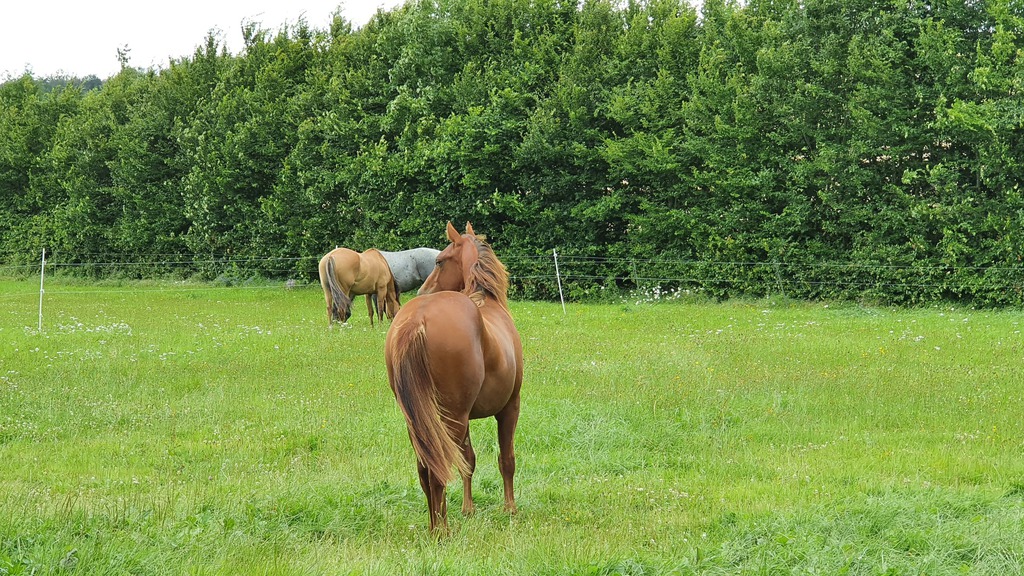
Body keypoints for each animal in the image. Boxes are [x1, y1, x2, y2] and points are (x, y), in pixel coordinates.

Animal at [384, 222, 524, 535]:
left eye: (439, 261)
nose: (422, 290)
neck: (487, 302)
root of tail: (417, 318)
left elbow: (468, 460)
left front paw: (468, 509)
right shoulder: (510, 407)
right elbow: (506, 459)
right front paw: (510, 508)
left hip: (419, 422)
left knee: (426, 468)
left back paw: (433, 526)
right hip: (452, 418)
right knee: (438, 471)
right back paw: (442, 532)